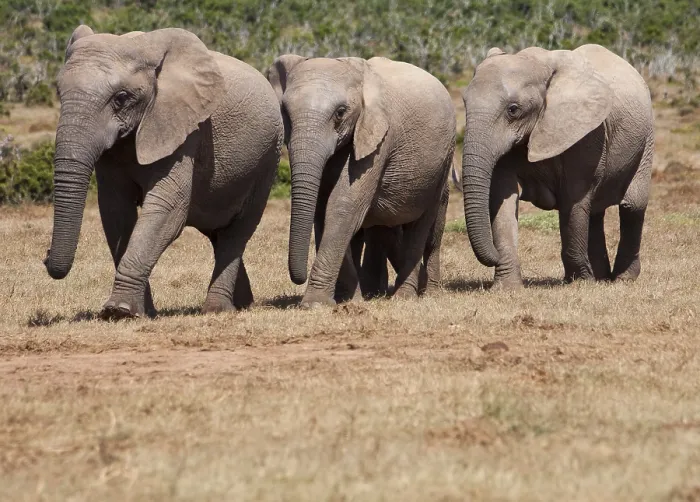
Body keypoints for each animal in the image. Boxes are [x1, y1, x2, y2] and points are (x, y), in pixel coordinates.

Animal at [43, 25, 283, 318]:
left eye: (121, 98)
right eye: (59, 92)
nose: (45, 256)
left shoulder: (185, 129)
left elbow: (168, 209)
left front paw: (120, 311)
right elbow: (116, 212)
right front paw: (141, 312)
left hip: (267, 159)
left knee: (237, 232)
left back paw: (217, 310)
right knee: (218, 233)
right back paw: (243, 304)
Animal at [266, 55, 455, 308]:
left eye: (340, 112)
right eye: (285, 112)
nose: (299, 277)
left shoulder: (379, 139)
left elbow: (343, 206)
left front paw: (315, 305)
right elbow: (322, 209)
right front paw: (349, 300)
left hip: (442, 163)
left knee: (422, 226)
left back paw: (408, 295)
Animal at [461, 44, 654, 288]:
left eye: (513, 109)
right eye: (464, 103)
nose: (493, 255)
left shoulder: (588, 132)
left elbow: (574, 197)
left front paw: (580, 282)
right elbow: (503, 196)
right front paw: (507, 288)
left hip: (646, 139)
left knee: (632, 205)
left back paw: (622, 278)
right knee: (595, 211)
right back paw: (601, 277)